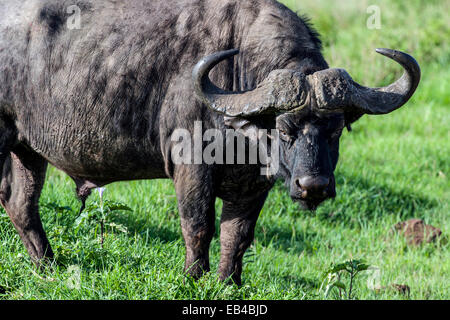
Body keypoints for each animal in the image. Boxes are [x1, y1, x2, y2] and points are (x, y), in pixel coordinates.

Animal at [0, 0, 422, 284]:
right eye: (284, 129)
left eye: (335, 130)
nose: (313, 186)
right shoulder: (191, 167)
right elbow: (198, 225)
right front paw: (194, 278)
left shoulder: (254, 184)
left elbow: (238, 235)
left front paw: (228, 283)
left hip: (28, 150)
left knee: (20, 203)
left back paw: (47, 266)